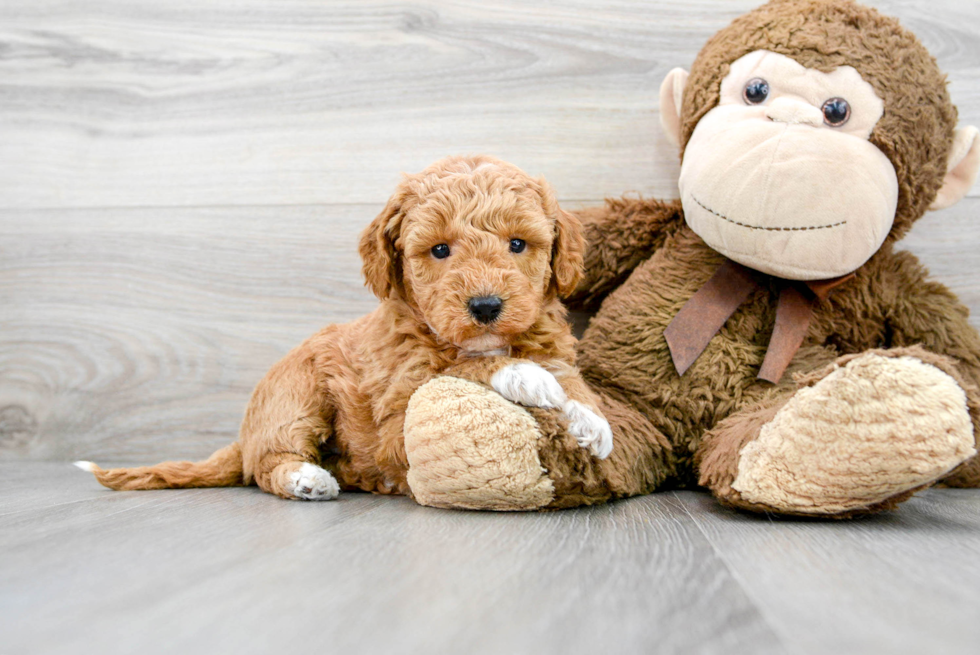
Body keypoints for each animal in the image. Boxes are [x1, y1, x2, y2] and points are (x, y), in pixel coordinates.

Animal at [78, 155, 612, 502]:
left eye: (517, 244)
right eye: (440, 250)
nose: (485, 306)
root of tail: (246, 436)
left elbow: (568, 376)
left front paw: (590, 417)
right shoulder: (395, 414)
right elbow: (458, 370)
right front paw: (523, 376)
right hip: (297, 395)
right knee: (266, 466)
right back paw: (306, 479)